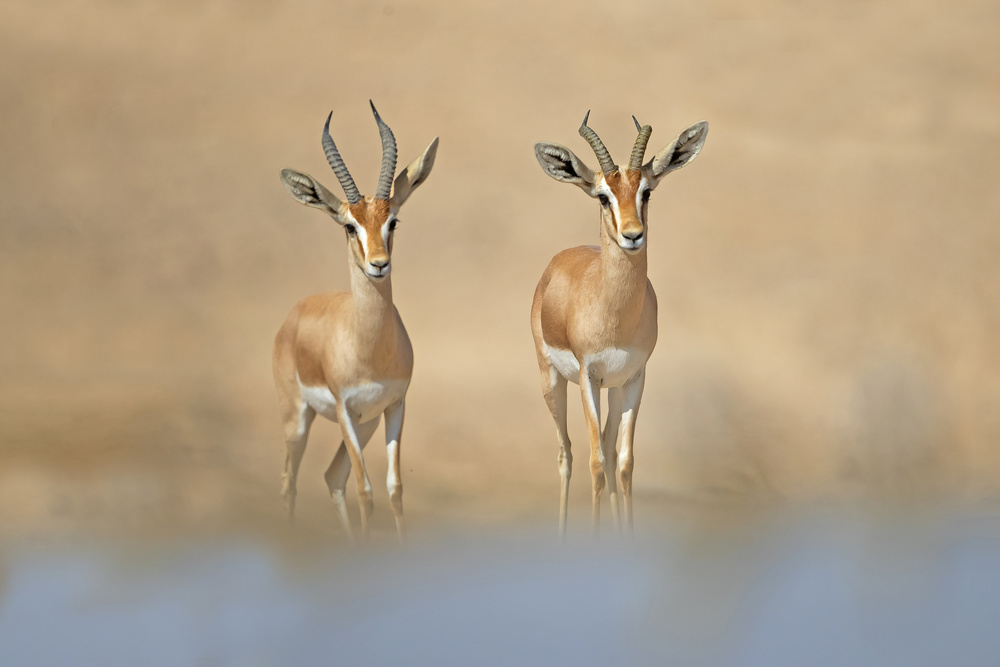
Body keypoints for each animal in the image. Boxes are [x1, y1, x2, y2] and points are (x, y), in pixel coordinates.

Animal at [273, 102, 438, 541]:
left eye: (392, 221)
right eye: (350, 225)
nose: (379, 264)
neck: (369, 347)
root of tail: (295, 313)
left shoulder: (394, 405)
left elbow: (394, 488)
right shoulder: (346, 410)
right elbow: (366, 490)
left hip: (366, 424)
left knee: (332, 476)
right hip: (298, 419)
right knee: (289, 482)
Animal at [531, 112, 708, 535]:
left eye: (646, 192)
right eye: (602, 196)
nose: (632, 235)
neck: (614, 313)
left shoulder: (634, 378)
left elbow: (623, 463)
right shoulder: (588, 378)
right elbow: (595, 462)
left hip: (612, 387)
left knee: (610, 452)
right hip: (552, 380)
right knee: (567, 453)